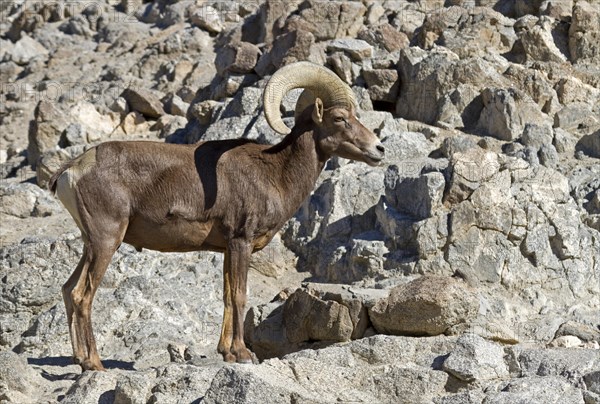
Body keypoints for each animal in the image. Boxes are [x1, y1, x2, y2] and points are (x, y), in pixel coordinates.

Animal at [47, 62, 384, 370]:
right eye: (339, 118)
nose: (378, 149)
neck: (275, 173)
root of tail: (72, 171)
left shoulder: (226, 250)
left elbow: (226, 295)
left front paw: (227, 353)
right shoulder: (240, 242)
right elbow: (239, 295)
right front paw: (244, 355)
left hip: (92, 244)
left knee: (67, 289)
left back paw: (79, 358)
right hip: (107, 241)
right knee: (82, 295)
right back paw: (94, 364)